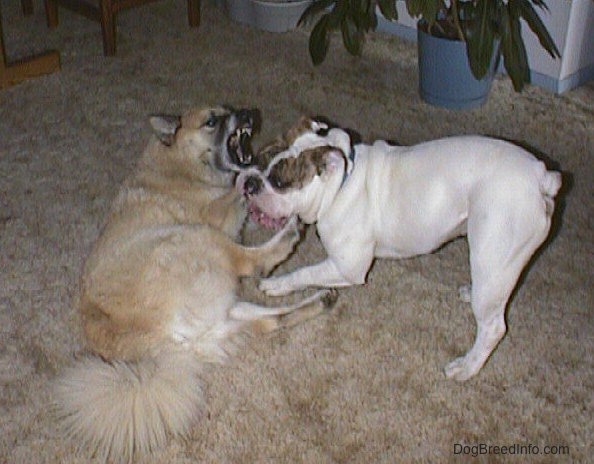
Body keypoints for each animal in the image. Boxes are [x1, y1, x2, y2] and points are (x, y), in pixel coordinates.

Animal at [54, 107, 338, 462]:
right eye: (212, 121)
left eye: (229, 111)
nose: (247, 115)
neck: (179, 163)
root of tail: (158, 343)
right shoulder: (216, 216)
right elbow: (237, 194)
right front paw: (254, 177)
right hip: (198, 238)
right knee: (252, 263)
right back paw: (286, 236)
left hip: (223, 317)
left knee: (271, 322)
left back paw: (320, 300)